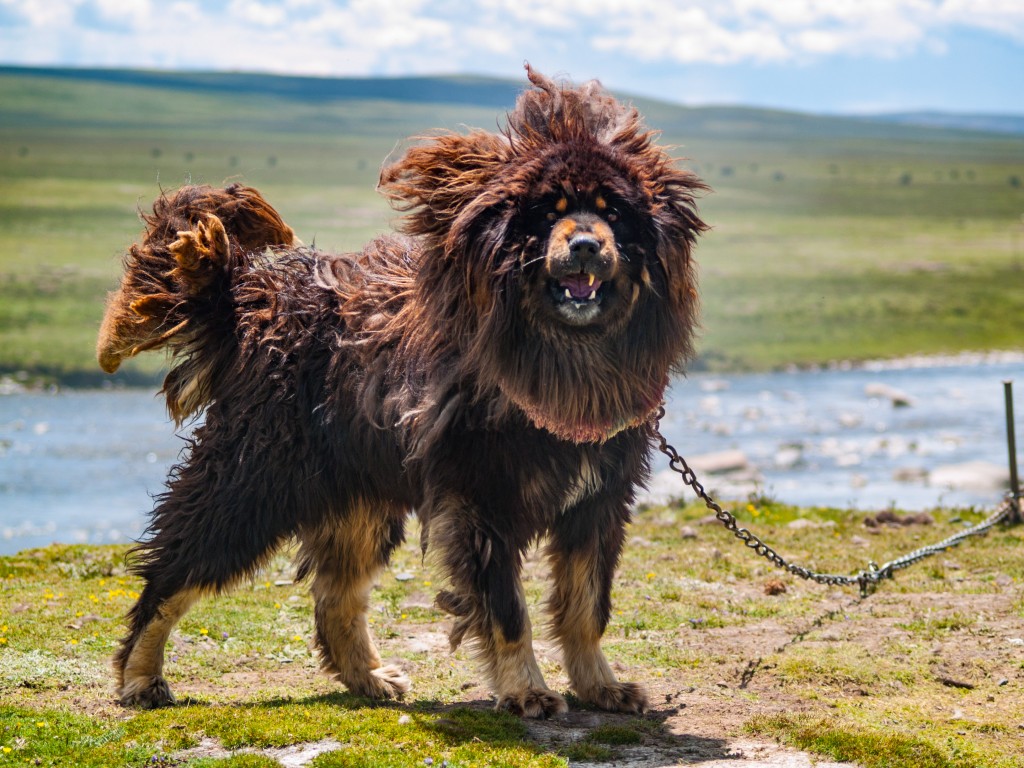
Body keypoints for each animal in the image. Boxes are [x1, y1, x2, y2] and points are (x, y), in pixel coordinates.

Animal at [97, 63, 704, 720]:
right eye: (548, 214)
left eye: (613, 214)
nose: (587, 245)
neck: (566, 355)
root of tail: (251, 296)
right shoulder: (481, 498)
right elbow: (508, 612)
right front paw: (527, 690)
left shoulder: (598, 498)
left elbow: (587, 606)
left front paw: (600, 685)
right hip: (252, 483)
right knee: (173, 575)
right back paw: (140, 675)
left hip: (358, 494)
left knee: (335, 596)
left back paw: (368, 678)